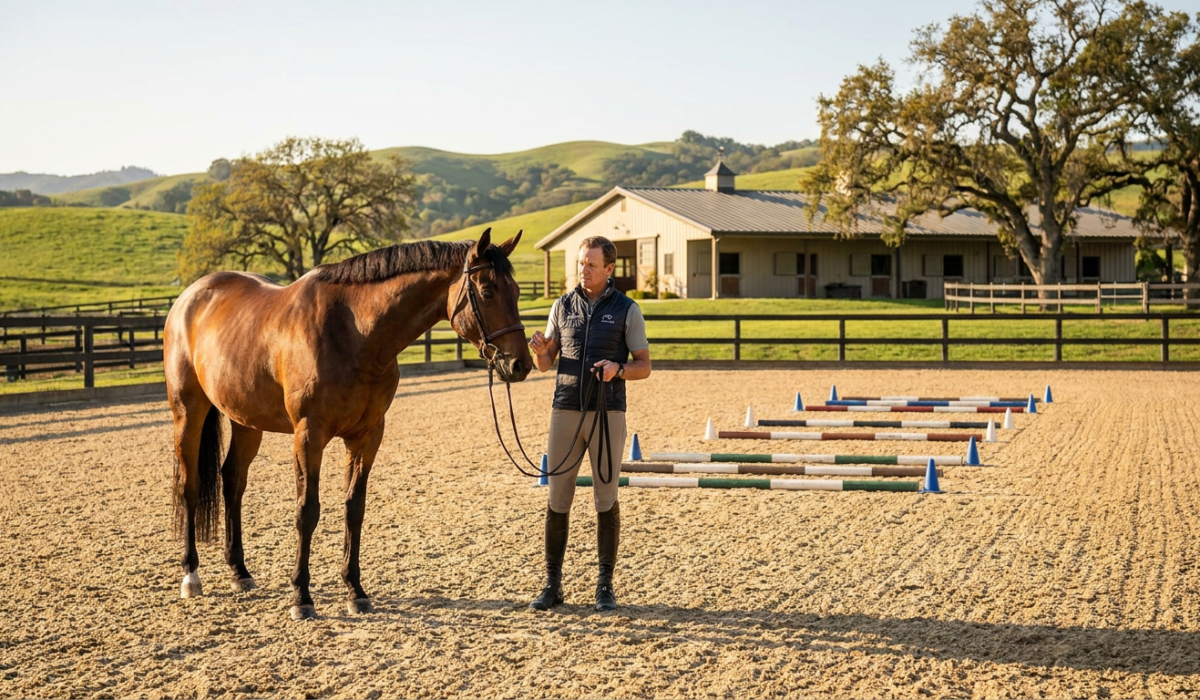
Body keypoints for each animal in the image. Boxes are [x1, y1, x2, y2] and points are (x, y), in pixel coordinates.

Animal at [163, 229, 531, 620]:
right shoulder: (309, 436)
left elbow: (355, 508)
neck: (354, 333)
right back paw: (191, 576)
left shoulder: (366, 437)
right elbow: (307, 511)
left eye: (516, 292)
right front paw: (301, 597)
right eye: (488, 291)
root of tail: (191, 296)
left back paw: (240, 573)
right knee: (189, 486)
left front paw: (355, 590)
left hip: (246, 421)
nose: (520, 364)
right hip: (188, 412)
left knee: (232, 481)